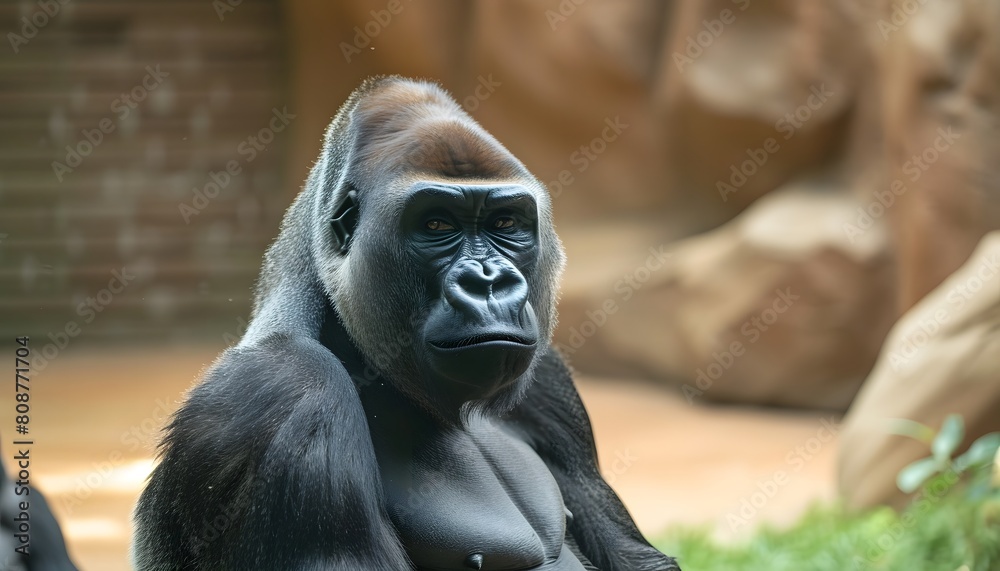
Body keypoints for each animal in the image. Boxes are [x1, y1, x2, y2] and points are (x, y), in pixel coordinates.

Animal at [133, 77, 680, 571]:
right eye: (437, 225)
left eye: (506, 224)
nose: (489, 282)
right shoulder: (284, 390)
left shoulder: (548, 375)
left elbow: (638, 557)